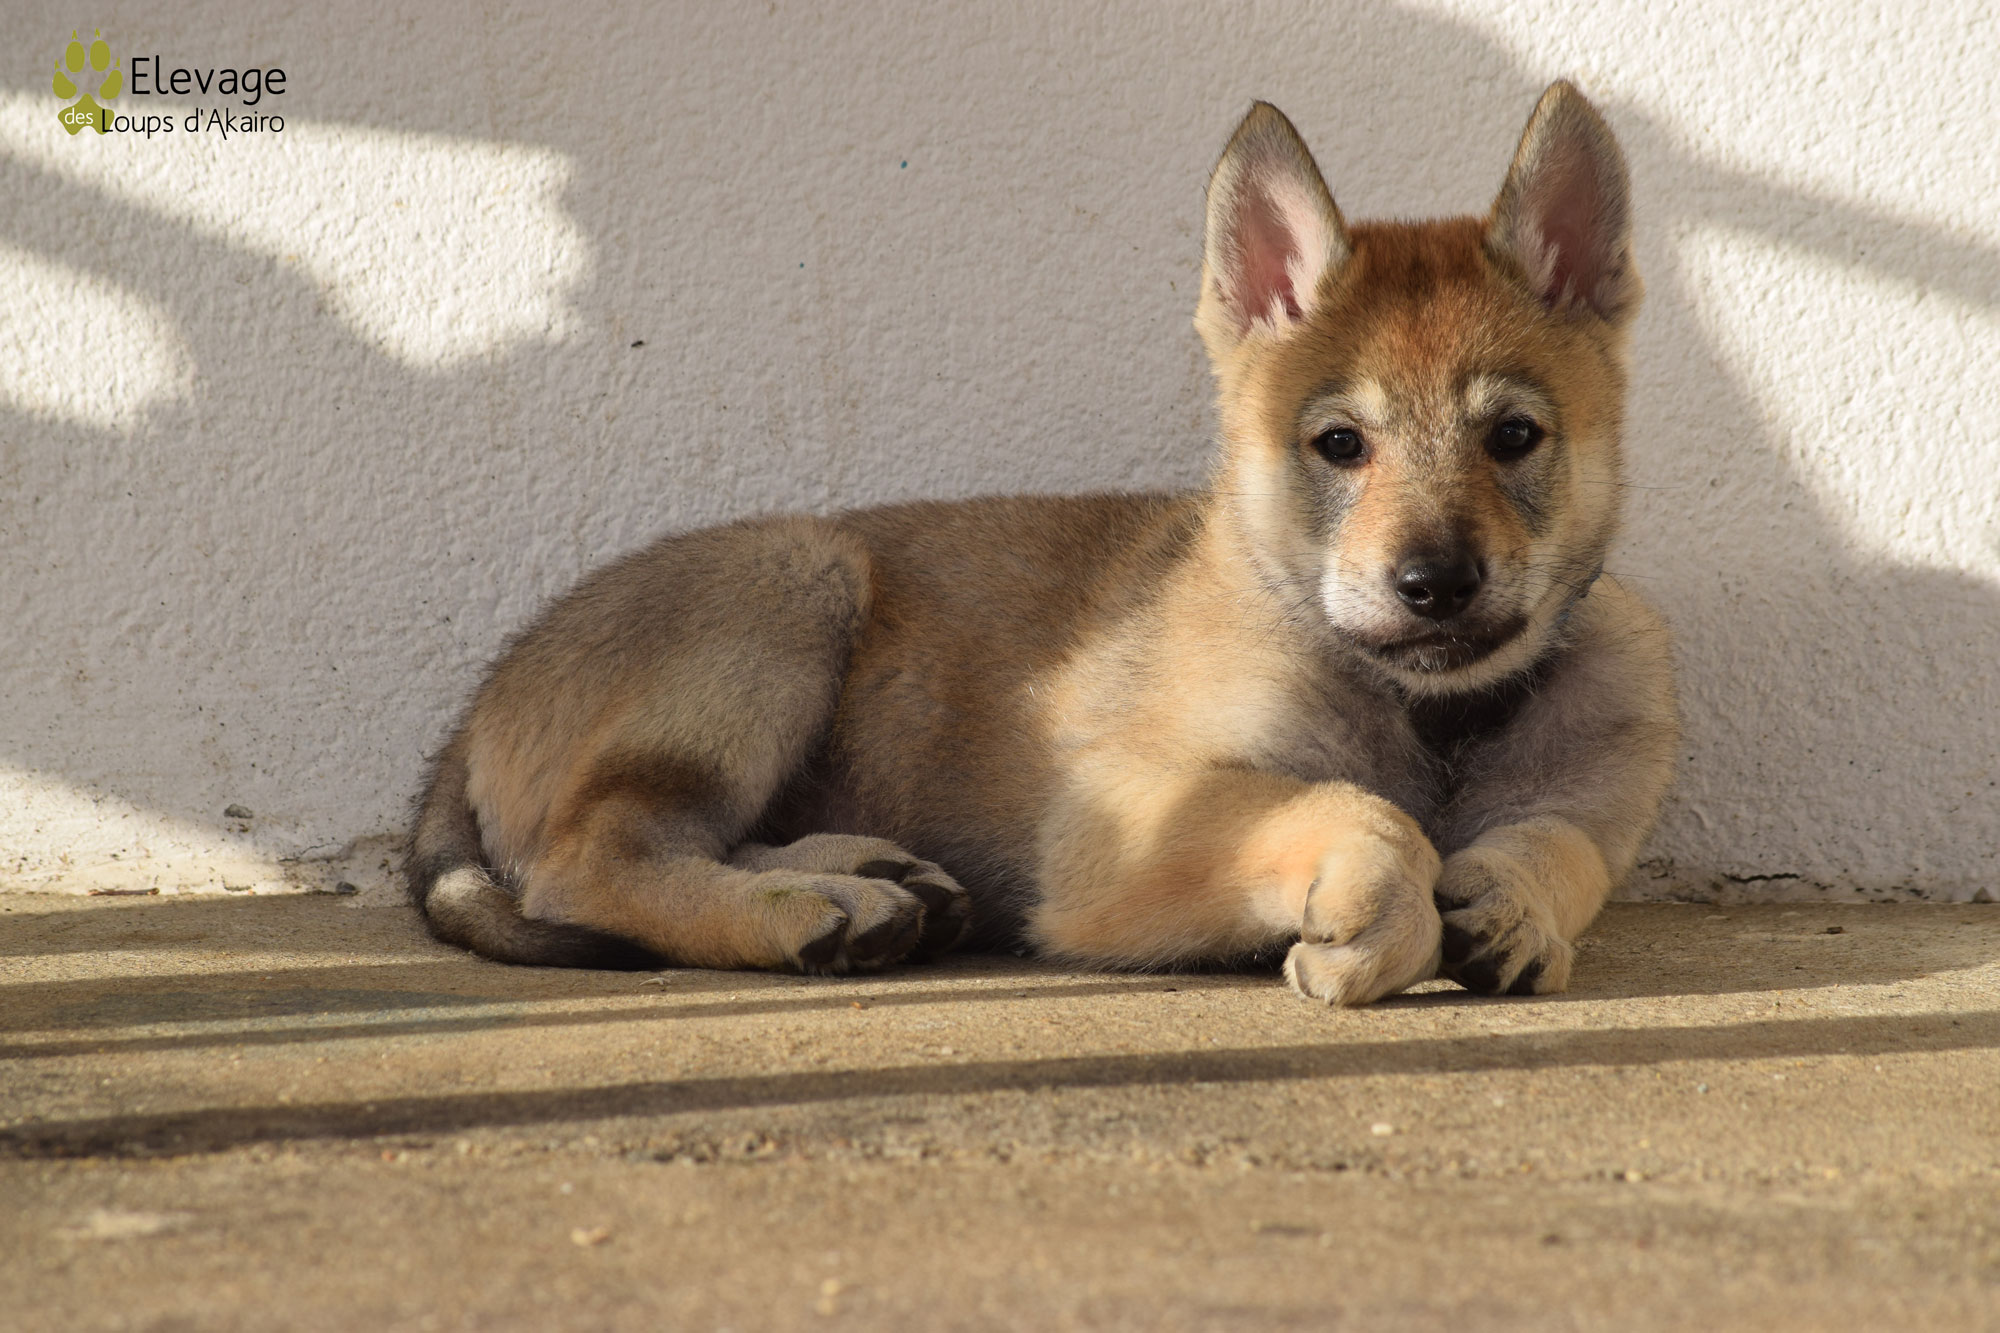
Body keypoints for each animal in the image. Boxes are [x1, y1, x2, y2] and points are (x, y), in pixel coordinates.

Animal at [408, 81, 1677, 1005]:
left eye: (1512, 437)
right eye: (1337, 444)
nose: (1434, 585)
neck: (1432, 716)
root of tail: (472, 711)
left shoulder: (1586, 793)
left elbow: (1552, 842)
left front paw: (1512, 906)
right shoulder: (1118, 826)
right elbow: (1353, 811)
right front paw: (1384, 901)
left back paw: (865, 876)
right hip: (788, 589)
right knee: (590, 860)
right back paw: (809, 910)